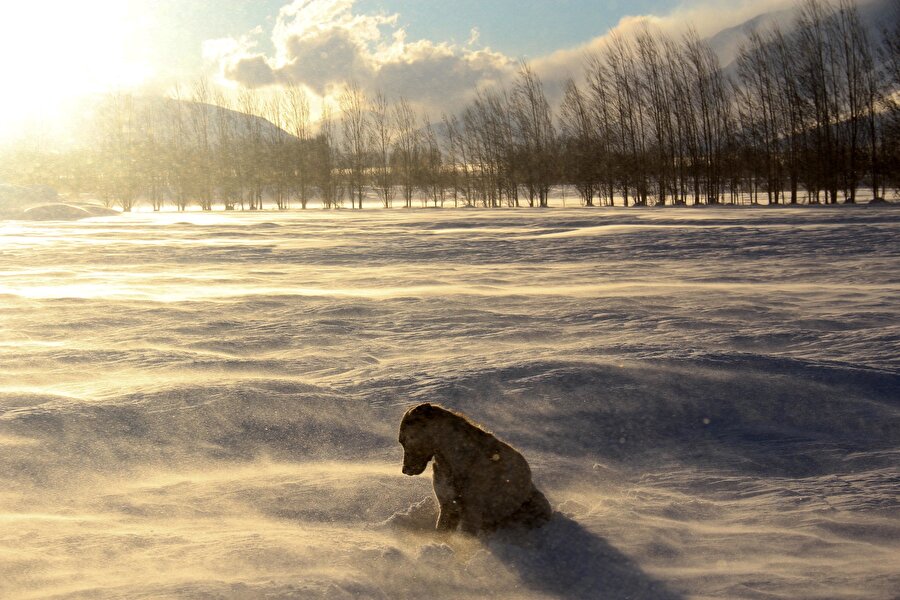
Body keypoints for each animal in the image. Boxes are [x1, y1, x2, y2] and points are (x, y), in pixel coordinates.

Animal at [400, 404, 552, 536]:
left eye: (403, 440)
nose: (404, 470)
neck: (448, 461)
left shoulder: (471, 512)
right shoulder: (447, 506)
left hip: (535, 505)